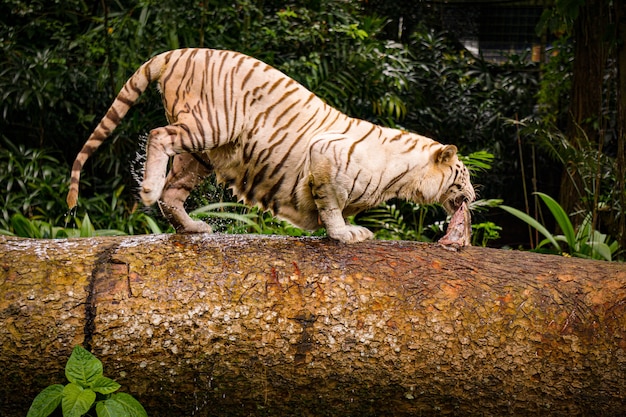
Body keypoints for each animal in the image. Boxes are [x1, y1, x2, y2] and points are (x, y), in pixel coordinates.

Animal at [67, 48, 472, 242]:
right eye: (463, 175)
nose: (474, 195)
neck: (403, 179)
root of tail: (177, 52)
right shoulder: (324, 156)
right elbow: (332, 208)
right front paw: (346, 235)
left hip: (200, 156)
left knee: (173, 192)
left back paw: (194, 228)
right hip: (211, 125)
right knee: (158, 136)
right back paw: (148, 190)